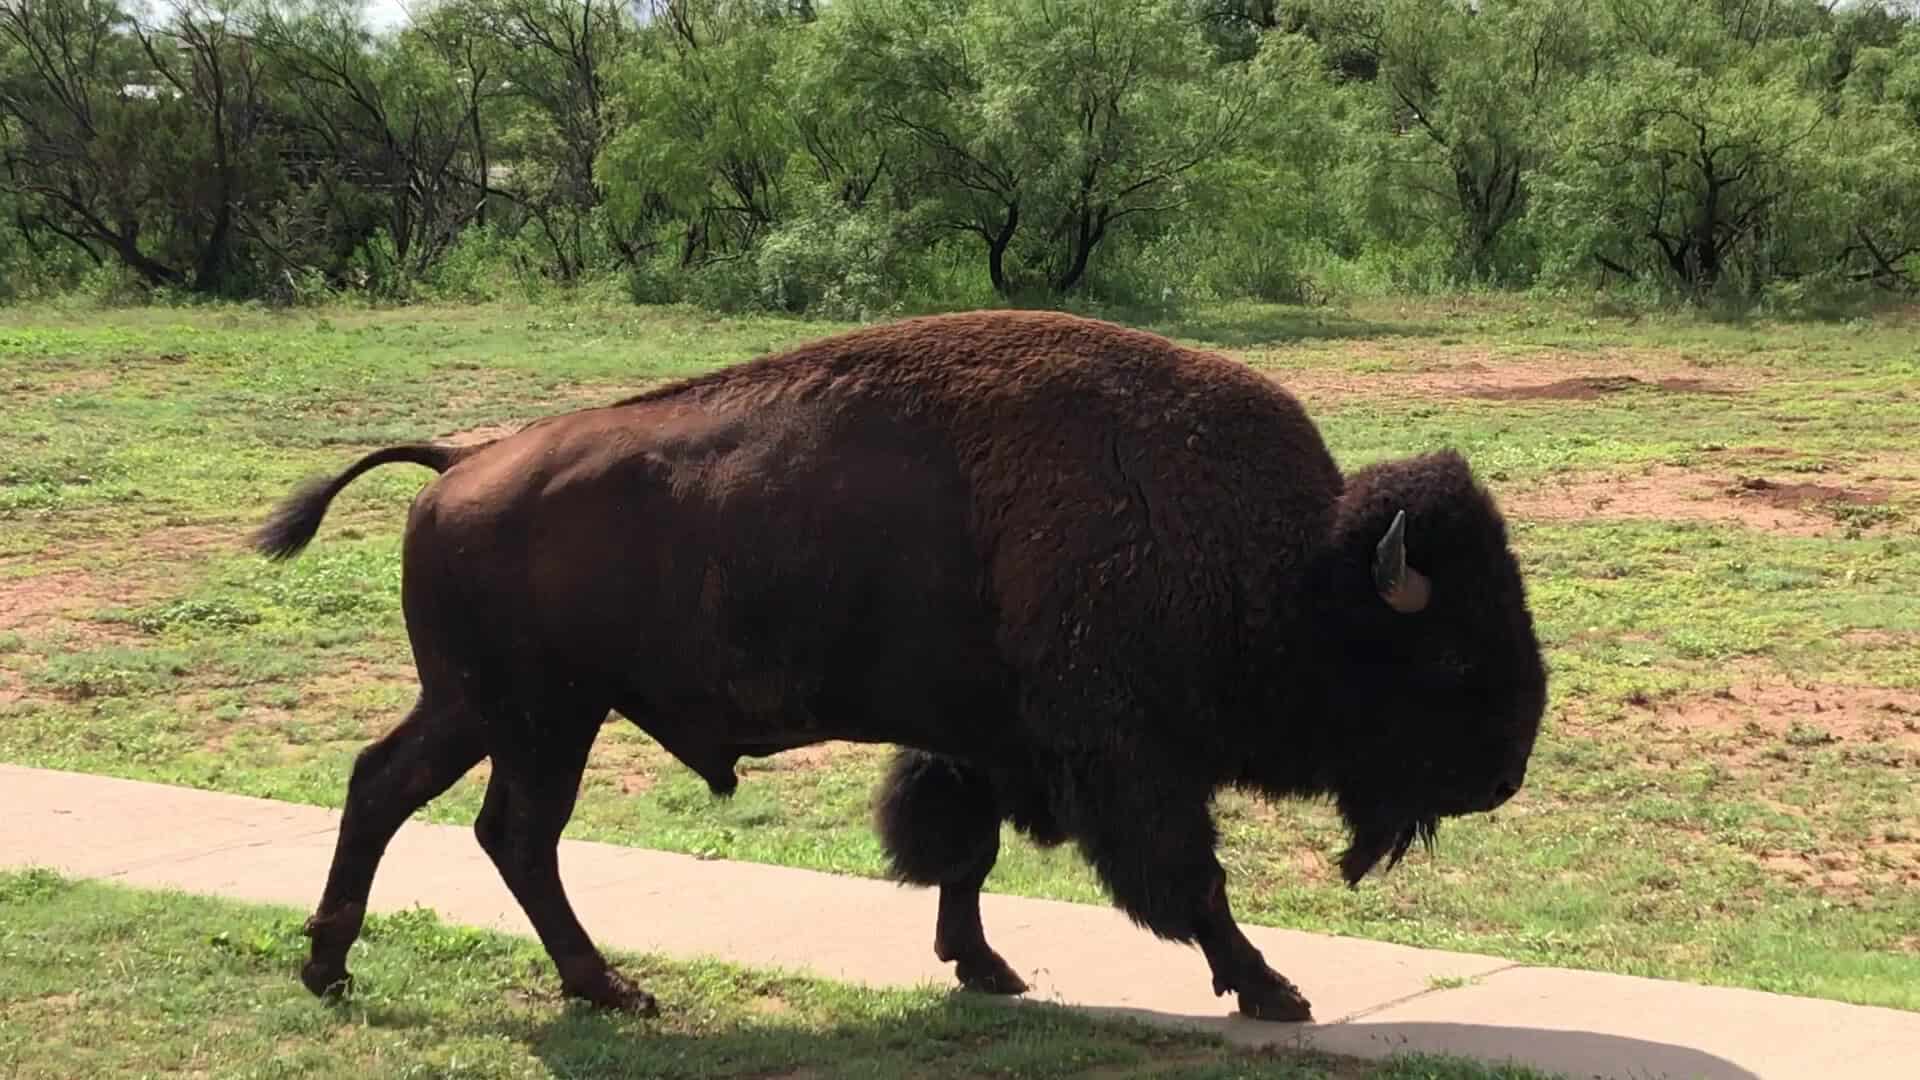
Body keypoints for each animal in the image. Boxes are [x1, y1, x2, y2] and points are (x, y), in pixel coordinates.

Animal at [251, 309, 1546, 1023]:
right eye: (1450, 653)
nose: (1506, 776)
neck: (1282, 561)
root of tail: (460, 463)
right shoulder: (1126, 760)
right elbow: (1191, 884)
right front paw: (1275, 990)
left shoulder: (982, 743)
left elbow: (960, 855)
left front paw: (986, 968)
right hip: (542, 720)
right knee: (514, 835)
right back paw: (608, 989)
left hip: (480, 709)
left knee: (386, 788)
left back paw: (332, 969)